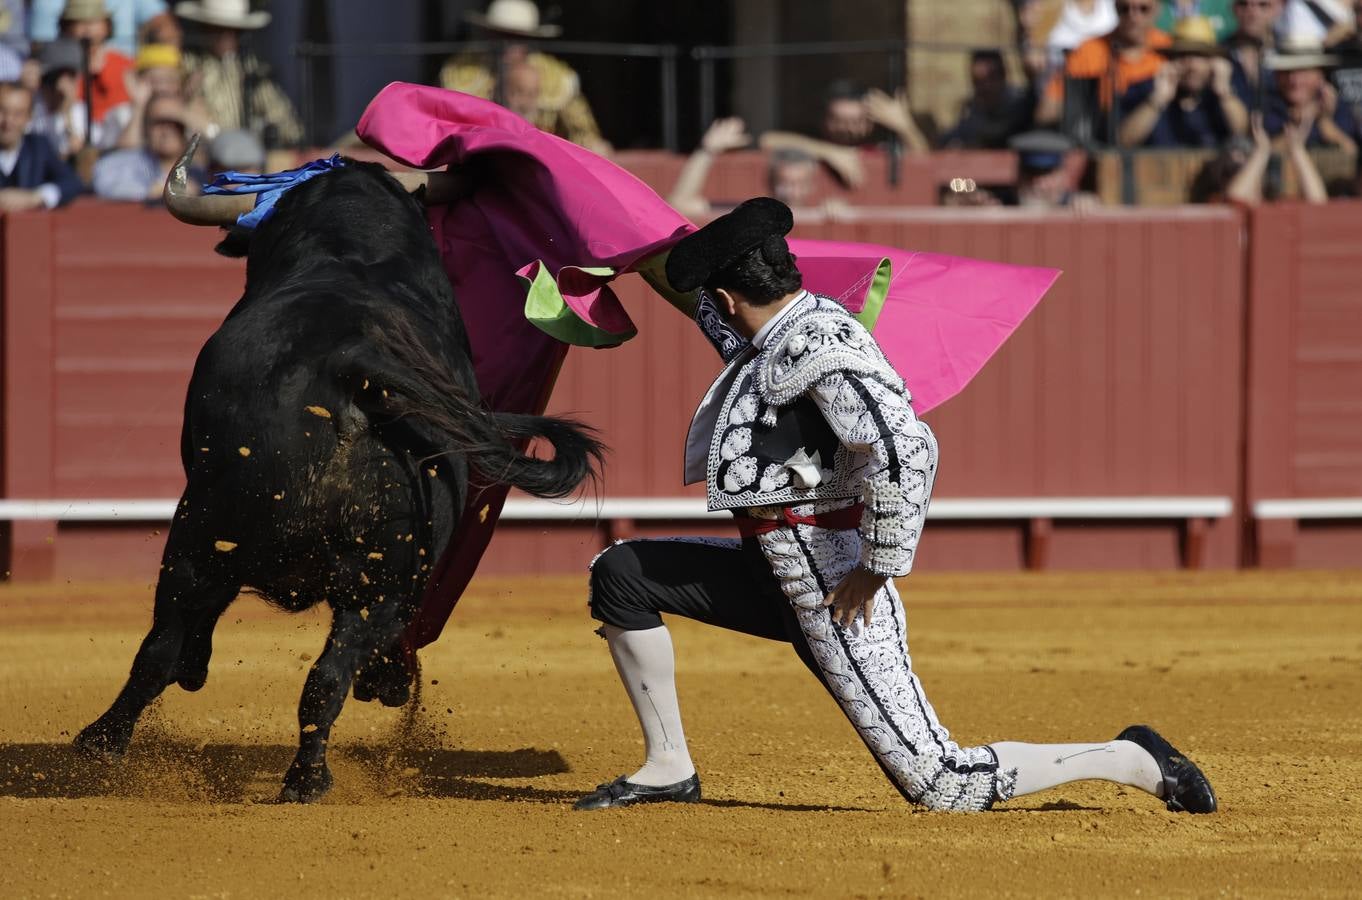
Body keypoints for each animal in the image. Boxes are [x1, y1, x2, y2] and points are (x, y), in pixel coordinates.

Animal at [74, 155, 604, 800]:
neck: (352, 251)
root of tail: (352, 363)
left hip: (207, 533)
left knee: (170, 643)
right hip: (341, 572)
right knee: (309, 671)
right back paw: (296, 772)